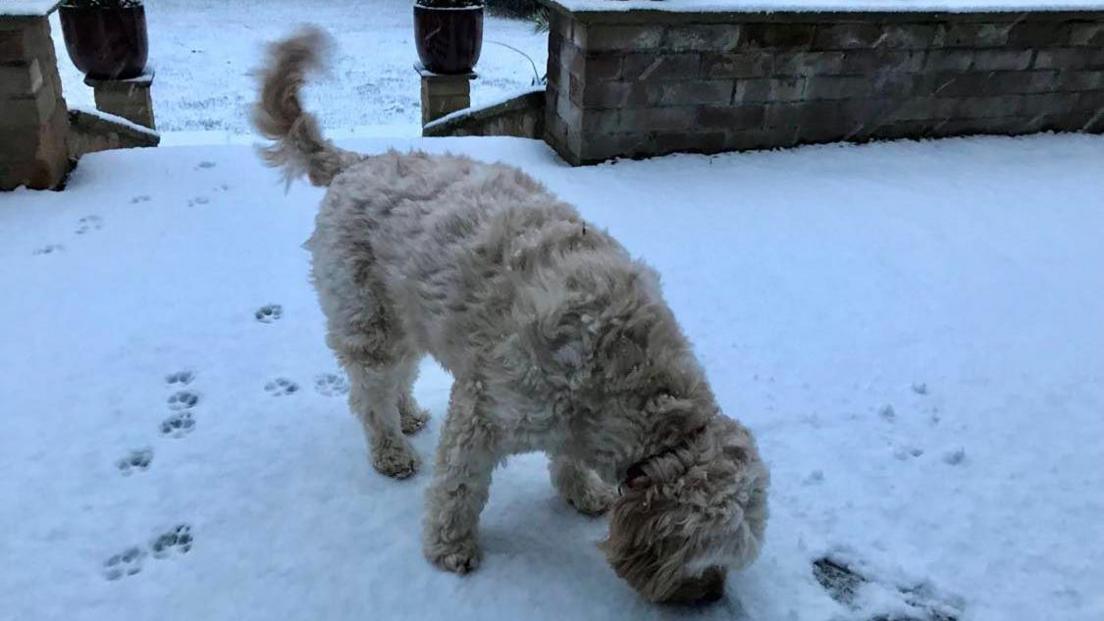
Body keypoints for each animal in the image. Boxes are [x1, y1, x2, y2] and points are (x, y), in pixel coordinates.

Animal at [252, 26, 768, 601]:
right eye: (708, 559)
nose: (713, 597)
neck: (623, 369)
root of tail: (356, 164)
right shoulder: (486, 409)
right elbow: (459, 486)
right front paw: (450, 548)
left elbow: (567, 458)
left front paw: (581, 491)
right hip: (369, 320)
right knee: (368, 393)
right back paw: (390, 449)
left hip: (405, 313)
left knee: (398, 376)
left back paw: (407, 414)